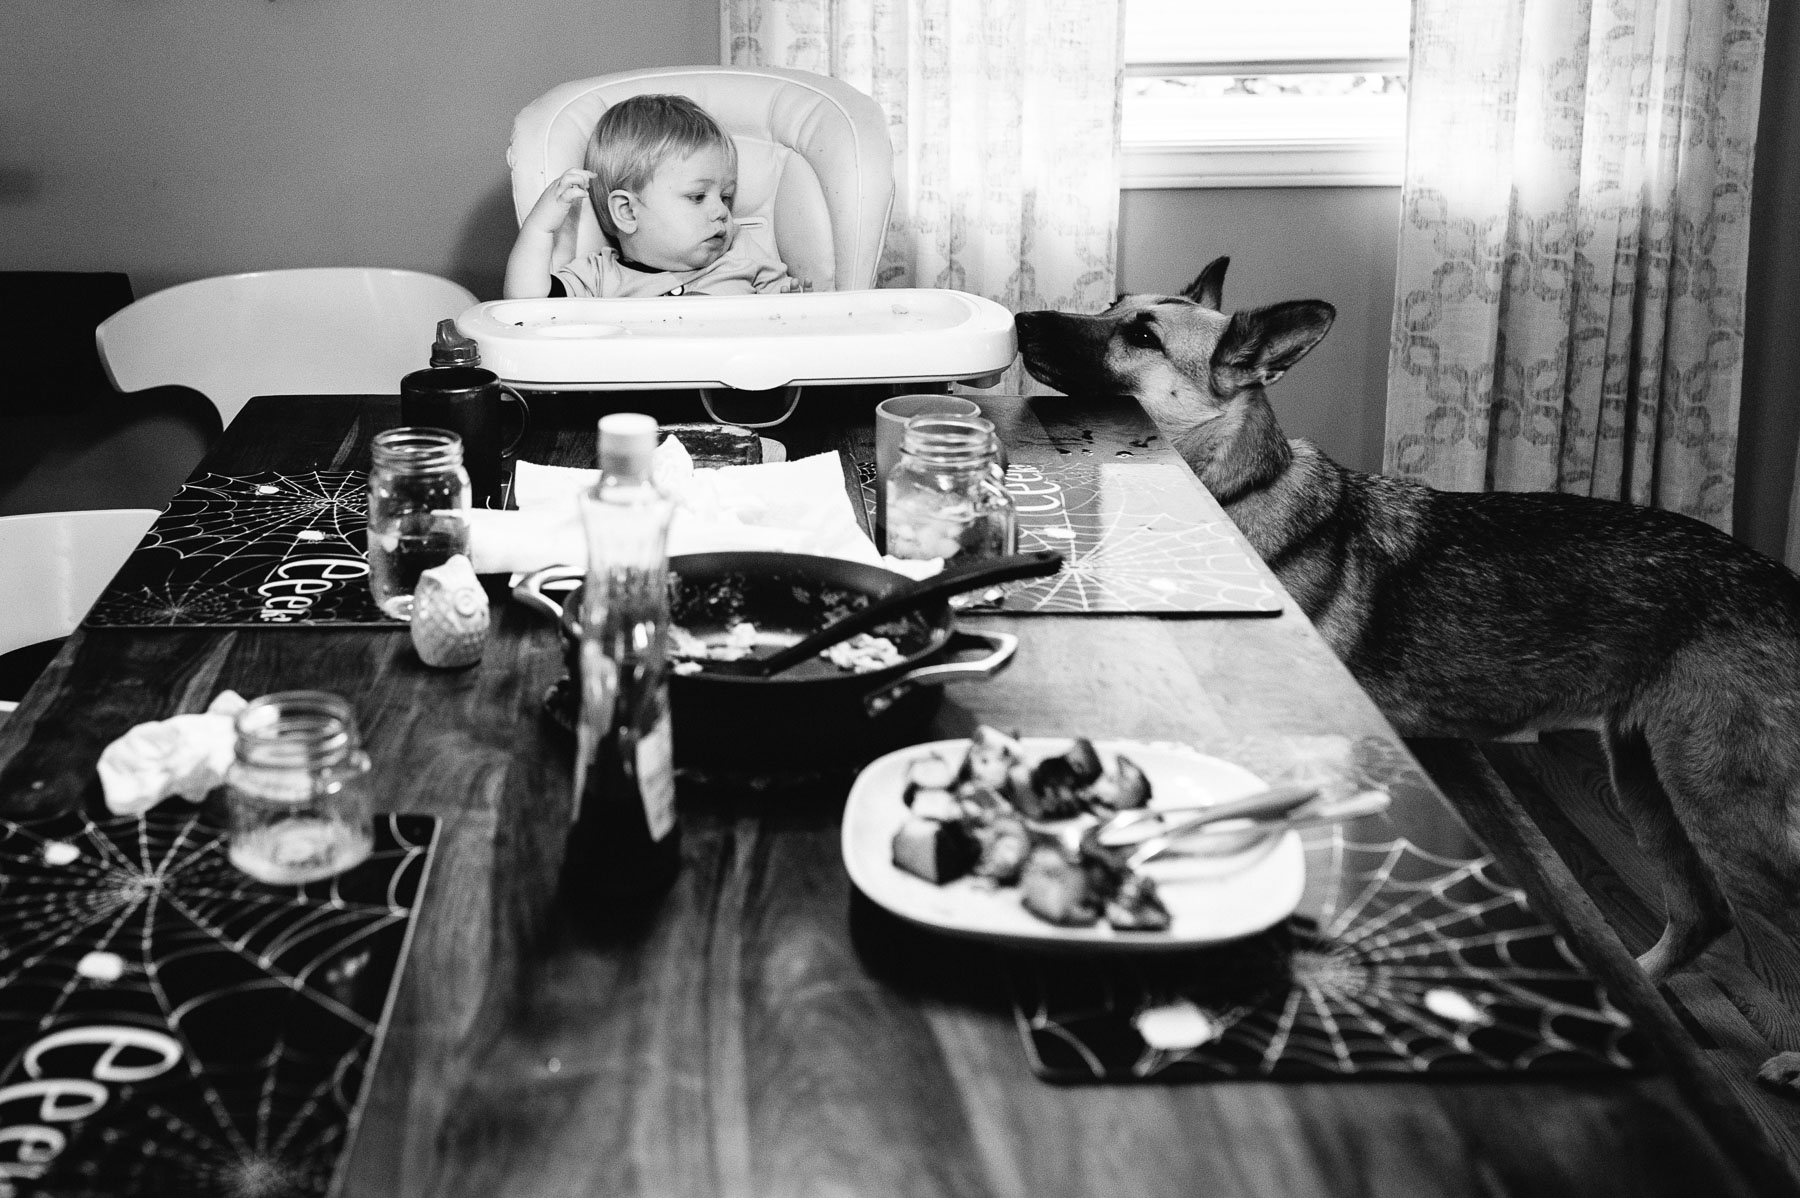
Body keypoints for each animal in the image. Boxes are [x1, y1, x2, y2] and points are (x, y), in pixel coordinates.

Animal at [1015, 259, 1800, 985]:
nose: (1021, 318)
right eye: (1112, 304)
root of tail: (1782, 582)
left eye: (1143, 336)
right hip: (1649, 776)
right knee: (1702, 914)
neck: (1240, 486)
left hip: (1727, 810)